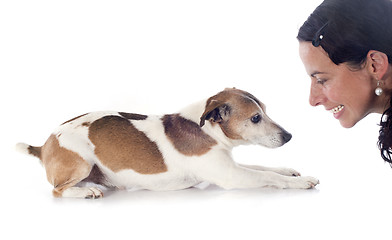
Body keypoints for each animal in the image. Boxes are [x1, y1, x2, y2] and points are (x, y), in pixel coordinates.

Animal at [16, 88, 320, 199]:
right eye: (256, 118)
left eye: (266, 111)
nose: (289, 136)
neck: (207, 130)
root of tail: (44, 145)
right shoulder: (232, 176)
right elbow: (268, 176)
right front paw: (302, 181)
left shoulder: (230, 165)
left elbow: (264, 167)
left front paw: (290, 170)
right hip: (80, 162)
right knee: (57, 190)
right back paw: (85, 192)